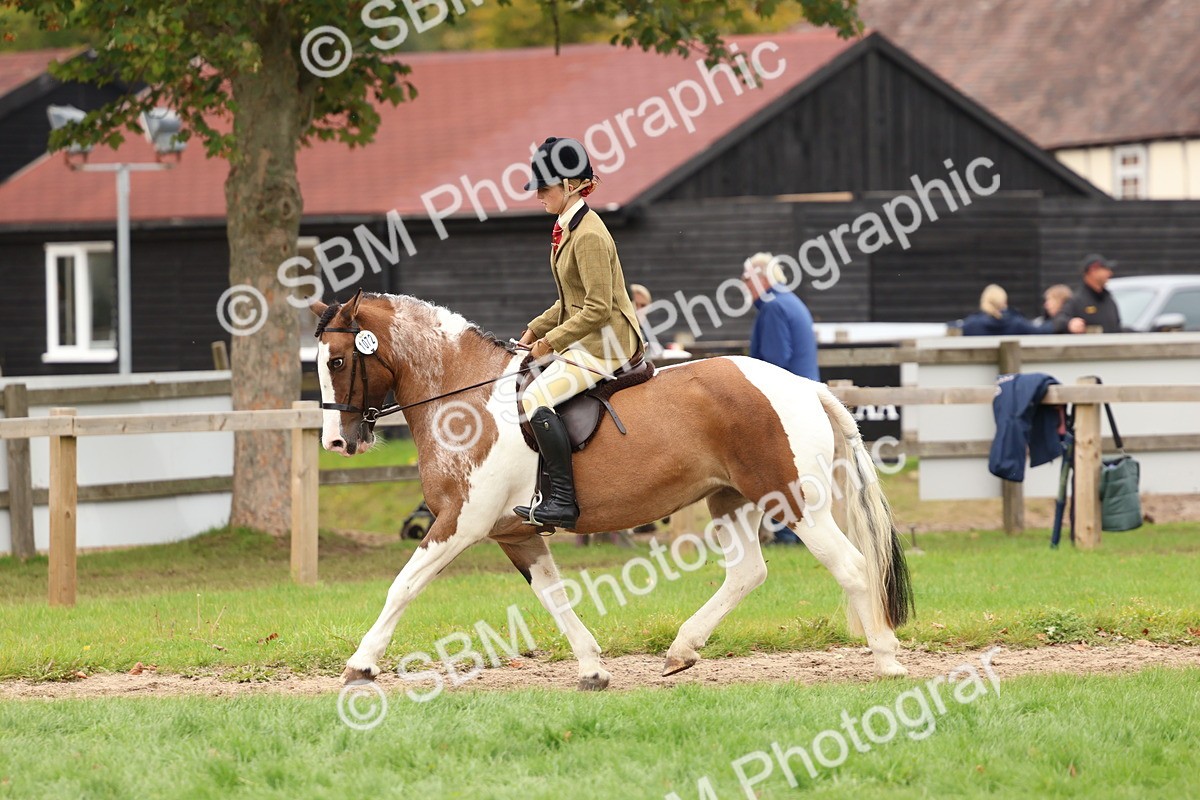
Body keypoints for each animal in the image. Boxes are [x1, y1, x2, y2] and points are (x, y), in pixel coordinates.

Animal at [312, 290, 912, 690]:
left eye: (339, 360)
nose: (338, 442)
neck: (465, 397)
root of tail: (804, 386)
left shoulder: (461, 521)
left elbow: (403, 586)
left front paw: (361, 665)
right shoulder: (515, 533)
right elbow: (553, 595)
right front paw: (593, 668)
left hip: (792, 501)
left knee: (852, 567)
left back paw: (887, 659)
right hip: (731, 499)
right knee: (747, 572)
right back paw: (681, 650)